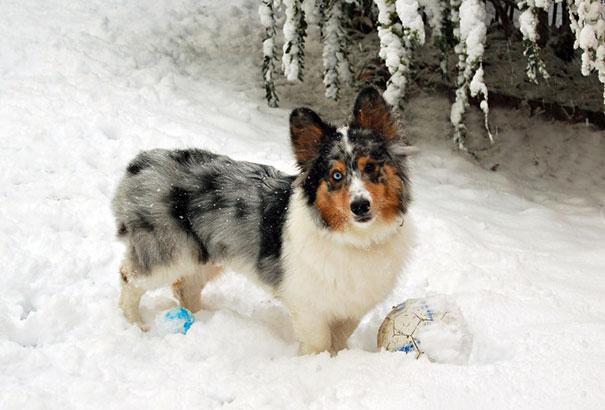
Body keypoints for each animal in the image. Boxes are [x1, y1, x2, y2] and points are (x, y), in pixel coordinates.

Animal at [111, 87, 412, 356]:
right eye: (336, 175)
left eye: (370, 167)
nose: (360, 206)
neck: (355, 239)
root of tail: (138, 165)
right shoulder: (309, 306)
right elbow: (319, 344)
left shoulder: (351, 307)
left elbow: (339, 339)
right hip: (169, 254)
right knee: (130, 278)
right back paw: (137, 325)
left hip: (204, 256)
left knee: (185, 288)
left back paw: (201, 319)